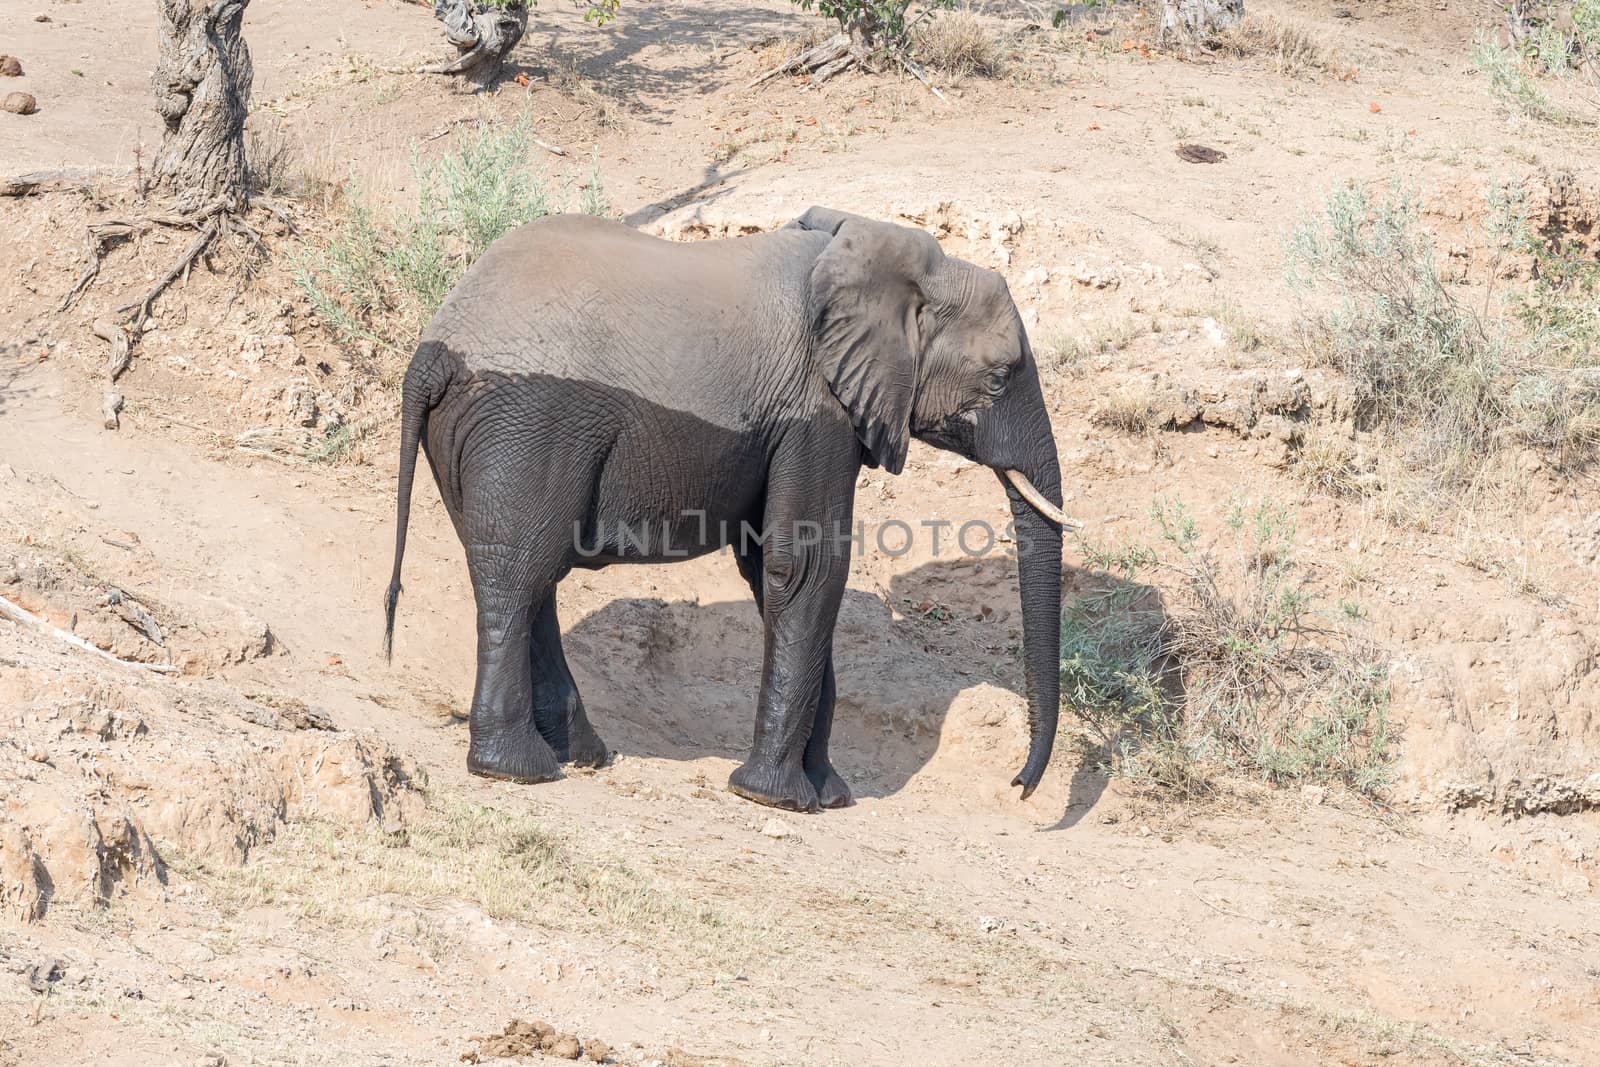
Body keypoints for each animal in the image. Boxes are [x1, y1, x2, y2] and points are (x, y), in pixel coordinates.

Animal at [380, 206, 1068, 809]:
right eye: (1001, 376)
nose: (1017, 787)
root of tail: (432, 352)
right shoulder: (816, 413)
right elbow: (808, 568)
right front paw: (780, 799)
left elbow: (772, 570)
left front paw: (830, 796)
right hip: (530, 424)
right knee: (518, 574)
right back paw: (519, 770)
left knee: (527, 576)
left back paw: (579, 756)